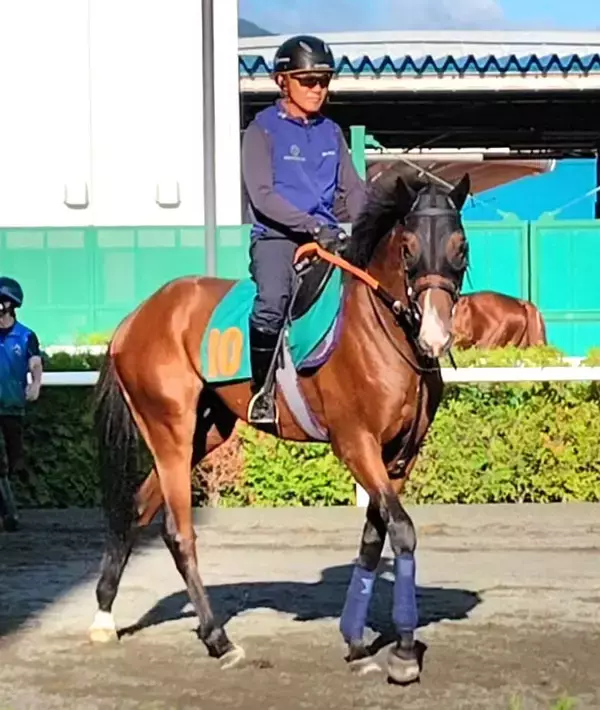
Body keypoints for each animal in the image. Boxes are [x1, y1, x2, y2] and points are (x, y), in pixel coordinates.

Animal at [87, 170, 472, 685]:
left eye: (460, 246)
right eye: (408, 248)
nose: (434, 334)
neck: (383, 334)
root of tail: (135, 318)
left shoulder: (398, 458)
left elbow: (375, 538)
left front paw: (356, 641)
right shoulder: (356, 444)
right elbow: (403, 531)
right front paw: (405, 653)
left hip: (205, 432)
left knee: (139, 509)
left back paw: (104, 616)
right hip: (170, 430)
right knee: (178, 530)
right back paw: (219, 640)